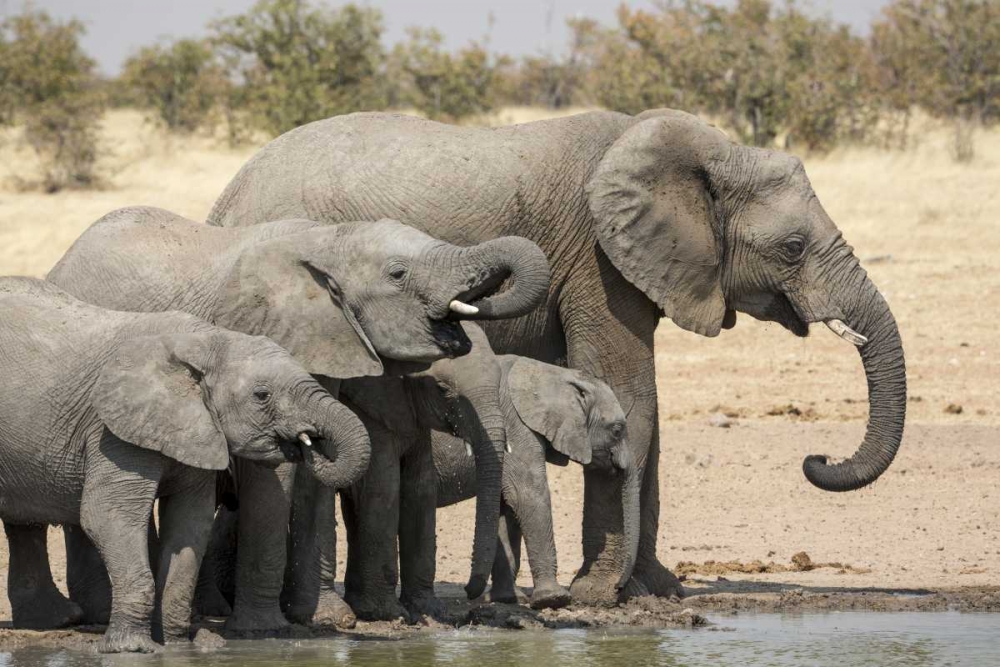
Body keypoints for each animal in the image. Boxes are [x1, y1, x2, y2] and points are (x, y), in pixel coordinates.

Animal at [0, 277, 369, 653]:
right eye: (262, 395)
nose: (309, 443)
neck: (206, 341)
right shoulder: (111, 430)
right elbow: (108, 516)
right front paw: (132, 649)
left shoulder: (197, 429)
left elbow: (190, 521)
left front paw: (180, 645)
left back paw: (53, 621)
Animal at [46, 206, 551, 630]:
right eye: (398, 273)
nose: (471, 596)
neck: (328, 240)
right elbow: (275, 473)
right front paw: (267, 628)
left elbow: (314, 484)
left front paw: (325, 618)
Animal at [433, 355, 636, 610]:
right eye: (617, 430)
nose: (618, 587)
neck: (554, 374)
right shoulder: (515, 426)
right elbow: (528, 495)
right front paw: (554, 599)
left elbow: (506, 509)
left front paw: (508, 599)